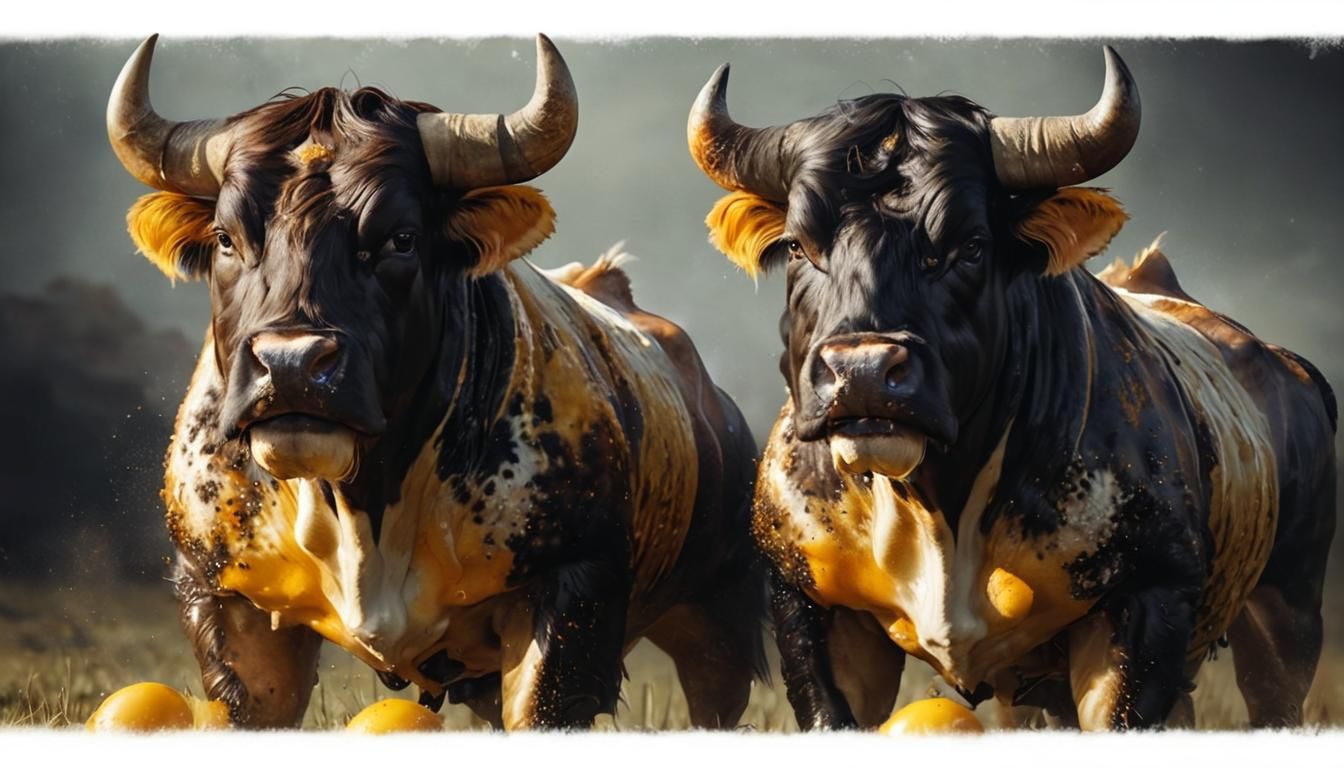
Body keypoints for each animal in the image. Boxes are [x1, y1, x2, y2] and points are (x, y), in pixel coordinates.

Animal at [105, 34, 766, 730]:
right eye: (227, 239)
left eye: (401, 238)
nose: (290, 364)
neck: (365, 505)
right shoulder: (228, 604)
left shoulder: (570, 596)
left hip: (720, 622)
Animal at [686, 47, 1336, 730]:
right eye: (798, 245)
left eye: (971, 245)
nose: (862, 371)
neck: (940, 509)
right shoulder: (809, 608)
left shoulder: (1147, 603)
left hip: (1287, 619)